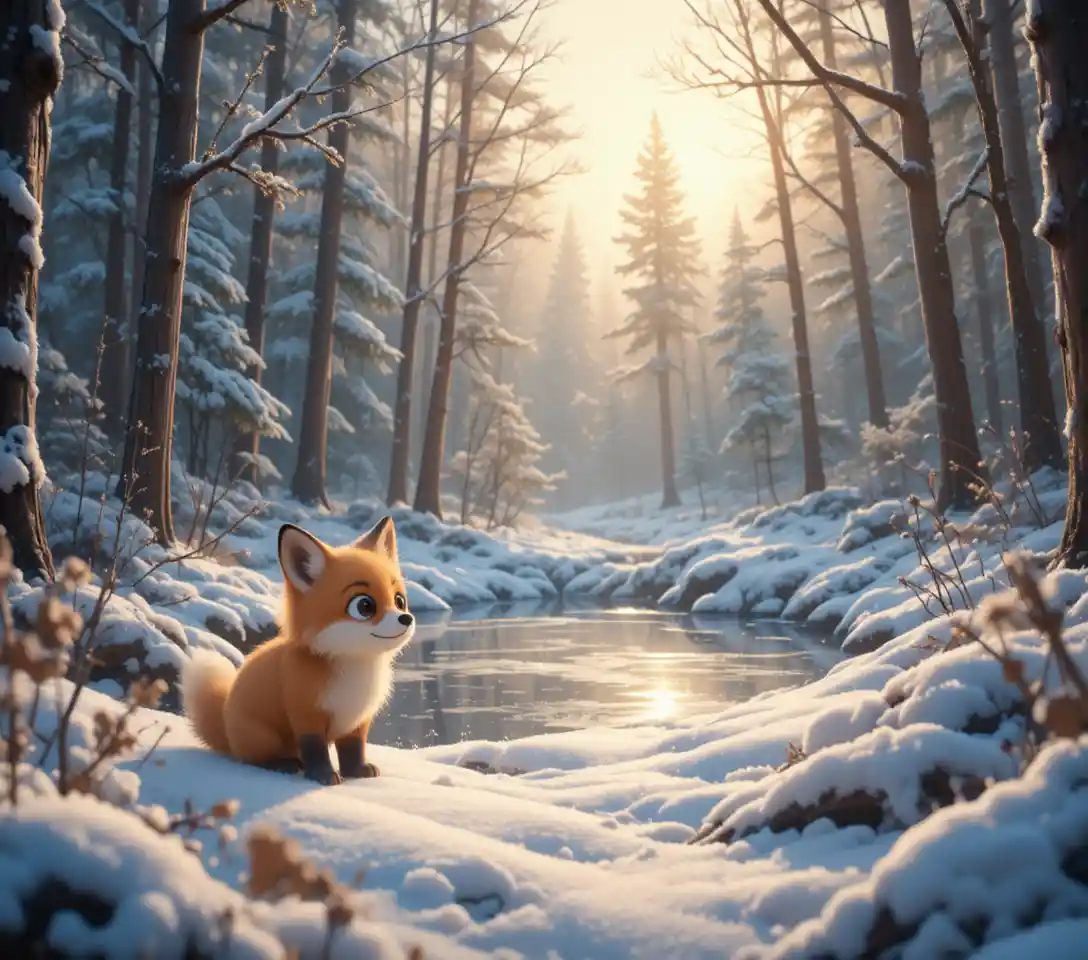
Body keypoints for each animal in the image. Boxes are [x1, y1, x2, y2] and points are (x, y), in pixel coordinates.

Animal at [180, 516, 415, 785]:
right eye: (364, 606)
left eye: (399, 601)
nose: (406, 618)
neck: (354, 667)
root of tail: (227, 732)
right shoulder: (306, 714)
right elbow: (315, 749)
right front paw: (323, 776)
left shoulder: (357, 721)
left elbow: (353, 749)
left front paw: (357, 772)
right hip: (263, 736)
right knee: (252, 759)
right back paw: (283, 764)